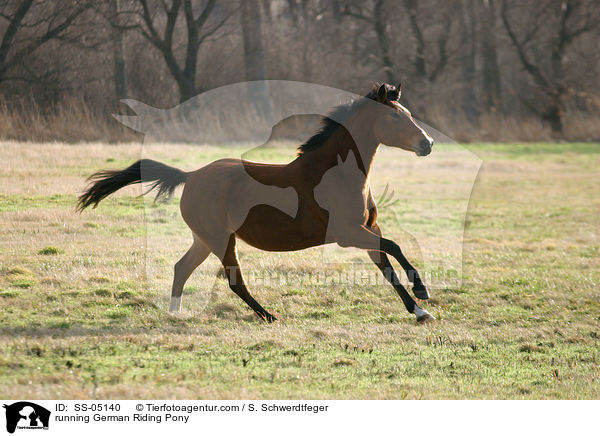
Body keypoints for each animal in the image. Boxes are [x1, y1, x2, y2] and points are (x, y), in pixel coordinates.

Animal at [78, 83, 436, 324]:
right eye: (395, 118)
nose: (428, 143)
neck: (336, 174)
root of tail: (190, 176)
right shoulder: (348, 233)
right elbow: (394, 248)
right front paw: (422, 293)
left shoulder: (367, 229)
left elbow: (387, 263)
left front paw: (420, 310)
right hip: (221, 240)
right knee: (234, 280)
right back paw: (268, 315)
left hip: (204, 239)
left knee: (181, 268)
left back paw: (176, 314)